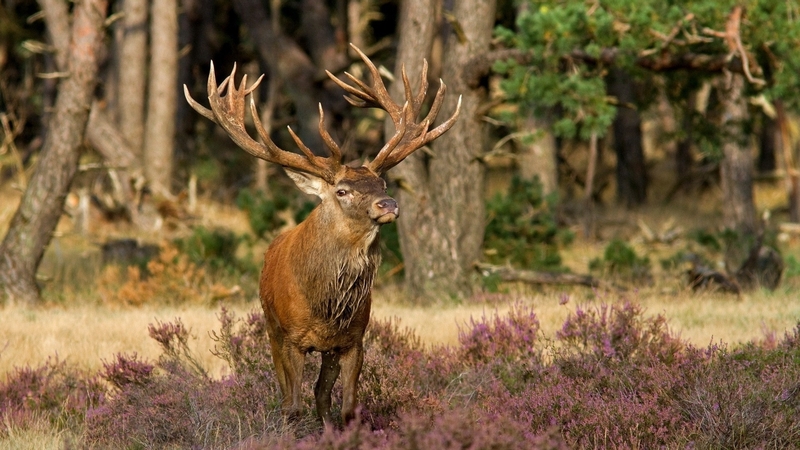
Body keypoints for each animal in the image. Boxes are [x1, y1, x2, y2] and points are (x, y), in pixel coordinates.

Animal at [184, 44, 460, 426]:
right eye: (342, 191)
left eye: (383, 183)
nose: (388, 204)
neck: (326, 307)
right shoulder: (291, 338)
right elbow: (292, 405)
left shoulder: (353, 339)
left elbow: (346, 406)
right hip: (271, 327)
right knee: (288, 396)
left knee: (321, 396)